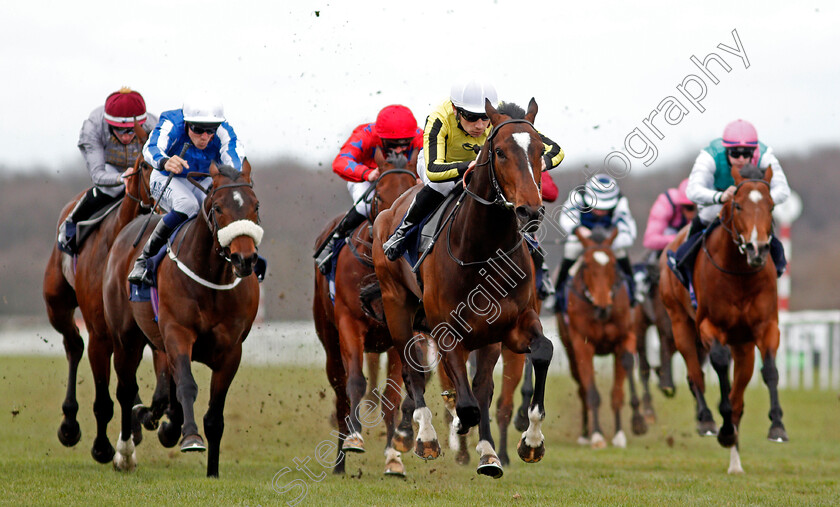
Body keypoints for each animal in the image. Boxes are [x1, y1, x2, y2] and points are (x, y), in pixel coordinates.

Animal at [105, 162, 262, 476]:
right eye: (218, 208)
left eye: (256, 205)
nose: (245, 259)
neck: (211, 277)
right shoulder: (178, 333)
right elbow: (187, 386)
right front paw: (190, 438)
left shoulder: (231, 350)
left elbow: (214, 414)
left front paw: (212, 471)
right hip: (126, 338)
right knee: (126, 391)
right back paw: (125, 454)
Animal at [312, 154, 420, 476]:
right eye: (379, 195)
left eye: (410, 193)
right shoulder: (349, 322)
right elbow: (356, 382)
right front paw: (354, 439)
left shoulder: (399, 334)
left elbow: (392, 396)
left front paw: (394, 457)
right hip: (330, 342)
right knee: (341, 396)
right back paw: (339, 461)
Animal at [372, 100, 556, 480]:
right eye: (499, 152)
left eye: (539, 150)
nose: (530, 210)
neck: (483, 252)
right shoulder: (447, 332)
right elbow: (465, 402)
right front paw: (451, 431)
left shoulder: (512, 324)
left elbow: (540, 353)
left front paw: (530, 441)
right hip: (397, 307)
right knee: (413, 372)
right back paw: (423, 436)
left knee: (480, 388)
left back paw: (486, 451)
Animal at [556, 228, 648, 450]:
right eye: (587, 264)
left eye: (613, 263)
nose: (603, 307)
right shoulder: (582, 344)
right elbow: (591, 392)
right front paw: (597, 435)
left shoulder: (624, 337)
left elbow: (619, 387)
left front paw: (624, 430)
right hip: (569, 350)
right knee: (581, 388)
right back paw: (585, 433)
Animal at [664, 165, 788, 474]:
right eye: (738, 205)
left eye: (771, 205)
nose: (757, 249)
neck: (739, 274)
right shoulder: (710, 326)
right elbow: (718, 366)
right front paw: (723, 427)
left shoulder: (766, 327)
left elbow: (770, 371)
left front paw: (777, 426)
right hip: (679, 323)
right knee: (695, 375)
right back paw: (708, 420)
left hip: (743, 346)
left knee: (739, 396)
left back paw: (735, 462)